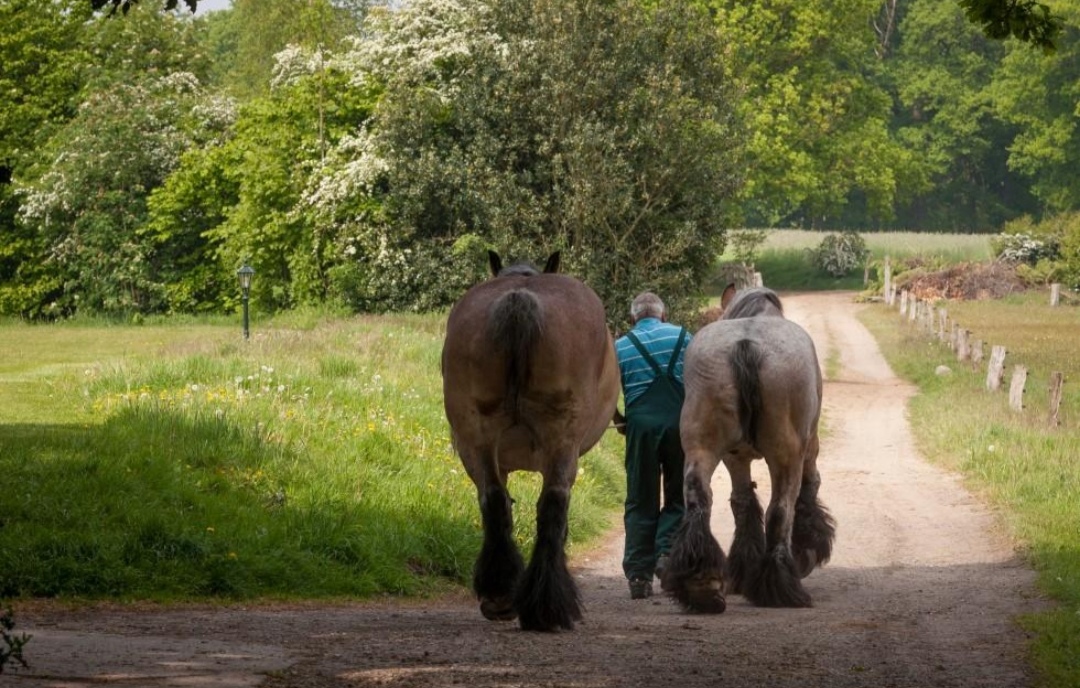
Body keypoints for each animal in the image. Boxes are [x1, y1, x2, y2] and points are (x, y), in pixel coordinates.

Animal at [441, 250, 620, 631]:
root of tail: (519, 299)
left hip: (477, 437)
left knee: (493, 500)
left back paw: (501, 595)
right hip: (561, 438)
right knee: (553, 504)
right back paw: (545, 605)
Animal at [662, 286, 835, 612]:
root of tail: (746, 345)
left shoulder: (736, 458)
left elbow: (742, 502)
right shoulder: (810, 447)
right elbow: (810, 488)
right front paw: (807, 550)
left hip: (702, 448)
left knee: (699, 497)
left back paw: (701, 584)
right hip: (786, 456)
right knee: (781, 510)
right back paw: (780, 587)